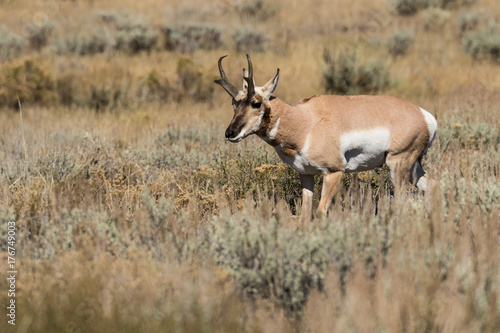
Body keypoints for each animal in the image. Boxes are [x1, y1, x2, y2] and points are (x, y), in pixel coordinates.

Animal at [216, 54, 438, 215]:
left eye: (256, 103)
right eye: (234, 103)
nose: (230, 133)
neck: (304, 120)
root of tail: (423, 114)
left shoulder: (333, 173)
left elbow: (321, 212)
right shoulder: (306, 175)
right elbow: (305, 214)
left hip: (397, 164)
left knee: (403, 201)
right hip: (413, 166)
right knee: (434, 186)